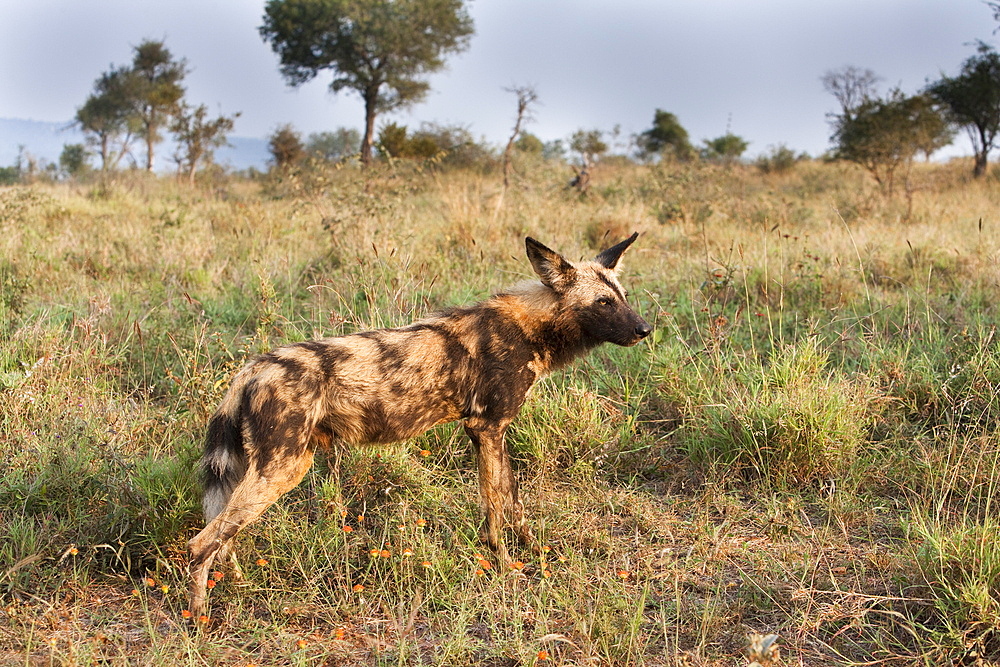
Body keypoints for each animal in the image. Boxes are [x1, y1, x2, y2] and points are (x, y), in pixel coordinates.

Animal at [188, 235, 652, 620]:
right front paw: (505, 567)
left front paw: (532, 553)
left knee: (224, 537)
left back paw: (238, 586)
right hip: (283, 468)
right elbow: (495, 507)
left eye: (623, 297)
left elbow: (513, 498)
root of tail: (254, 367)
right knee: (202, 542)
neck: (531, 327)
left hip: (263, 470)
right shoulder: (486, 428)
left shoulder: (492, 431)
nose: (645, 329)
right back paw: (200, 618)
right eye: (603, 303)